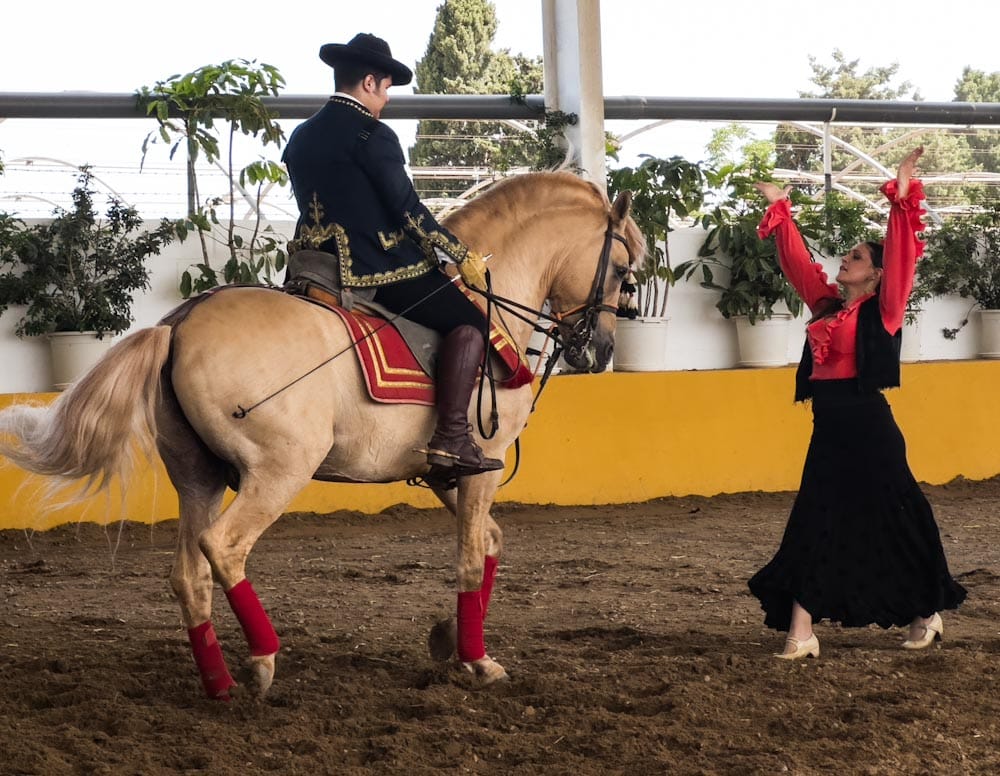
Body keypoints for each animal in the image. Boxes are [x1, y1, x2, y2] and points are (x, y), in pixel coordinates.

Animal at [0, 171, 640, 704]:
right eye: (620, 271)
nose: (600, 348)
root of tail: (177, 323)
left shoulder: (448, 473)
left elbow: (488, 544)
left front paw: (449, 638)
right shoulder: (482, 459)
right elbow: (467, 558)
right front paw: (477, 662)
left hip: (197, 476)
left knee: (188, 573)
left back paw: (219, 683)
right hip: (279, 470)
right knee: (223, 548)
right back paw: (261, 660)